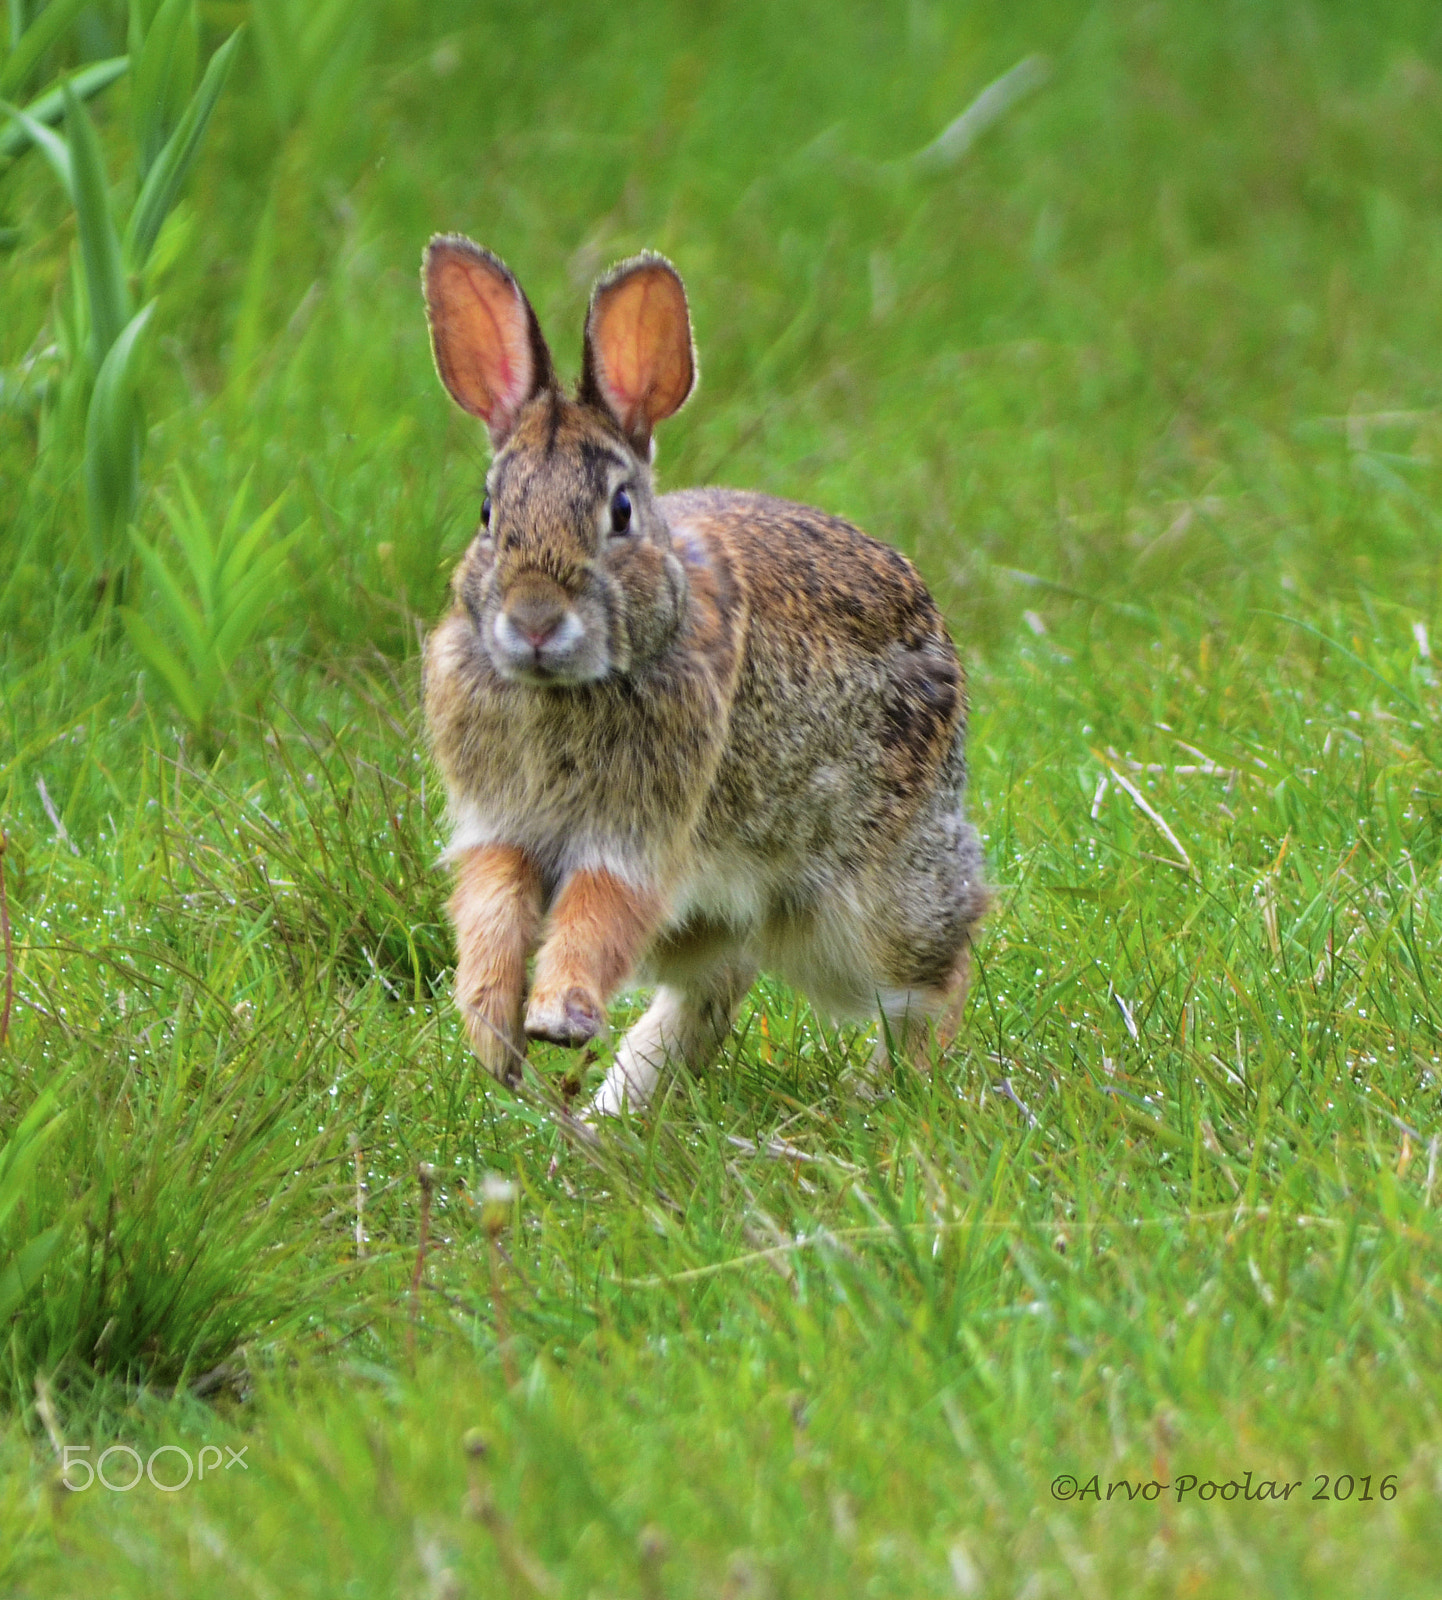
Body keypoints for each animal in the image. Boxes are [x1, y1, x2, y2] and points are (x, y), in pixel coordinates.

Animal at [416, 233, 979, 1113]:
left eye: (620, 512)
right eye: (487, 512)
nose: (535, 621)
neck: (564, 690)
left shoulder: (638, 837)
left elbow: (596, 913)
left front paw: (556, 1016)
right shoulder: (498, 829)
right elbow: (492, 910)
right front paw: (490, 1035)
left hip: (864, 906)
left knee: (936, 976)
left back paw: (883, 1094)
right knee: (711, 993)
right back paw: (615, 1115)